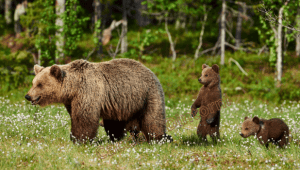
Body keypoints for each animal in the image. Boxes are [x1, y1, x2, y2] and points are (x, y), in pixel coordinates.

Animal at [25, 58, 171, 143]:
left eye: (40, 84)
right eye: (33, 83)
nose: (28, 96)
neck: (73, 88)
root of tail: (150, 71)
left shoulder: (88, 92)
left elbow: (84, 118)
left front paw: (79, 139)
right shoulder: (71, 101)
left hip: (147, 94)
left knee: (152, 119)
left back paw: (159, 138)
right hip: (121, 103)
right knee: (115, 123)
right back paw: (116, 138)